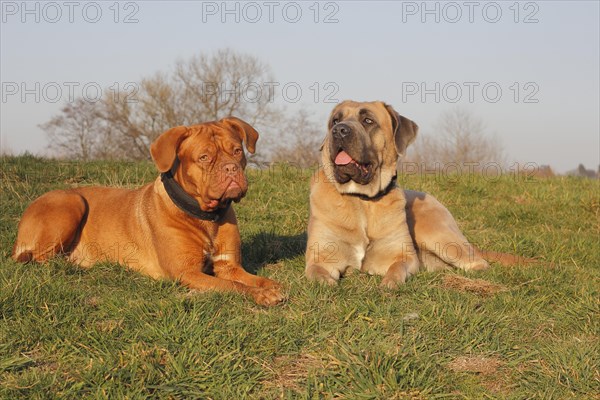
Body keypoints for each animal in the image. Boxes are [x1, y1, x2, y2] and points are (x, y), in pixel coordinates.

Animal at [13, 117, 286, 304]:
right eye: (204, 157)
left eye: (237, 151)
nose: (231, 168)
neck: (206, 216)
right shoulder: (187, 272)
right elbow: (233, 287)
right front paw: (261, 295)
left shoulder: (229, 266)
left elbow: (254, 278)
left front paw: (271, 286)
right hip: (71, 203)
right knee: (42, 258)